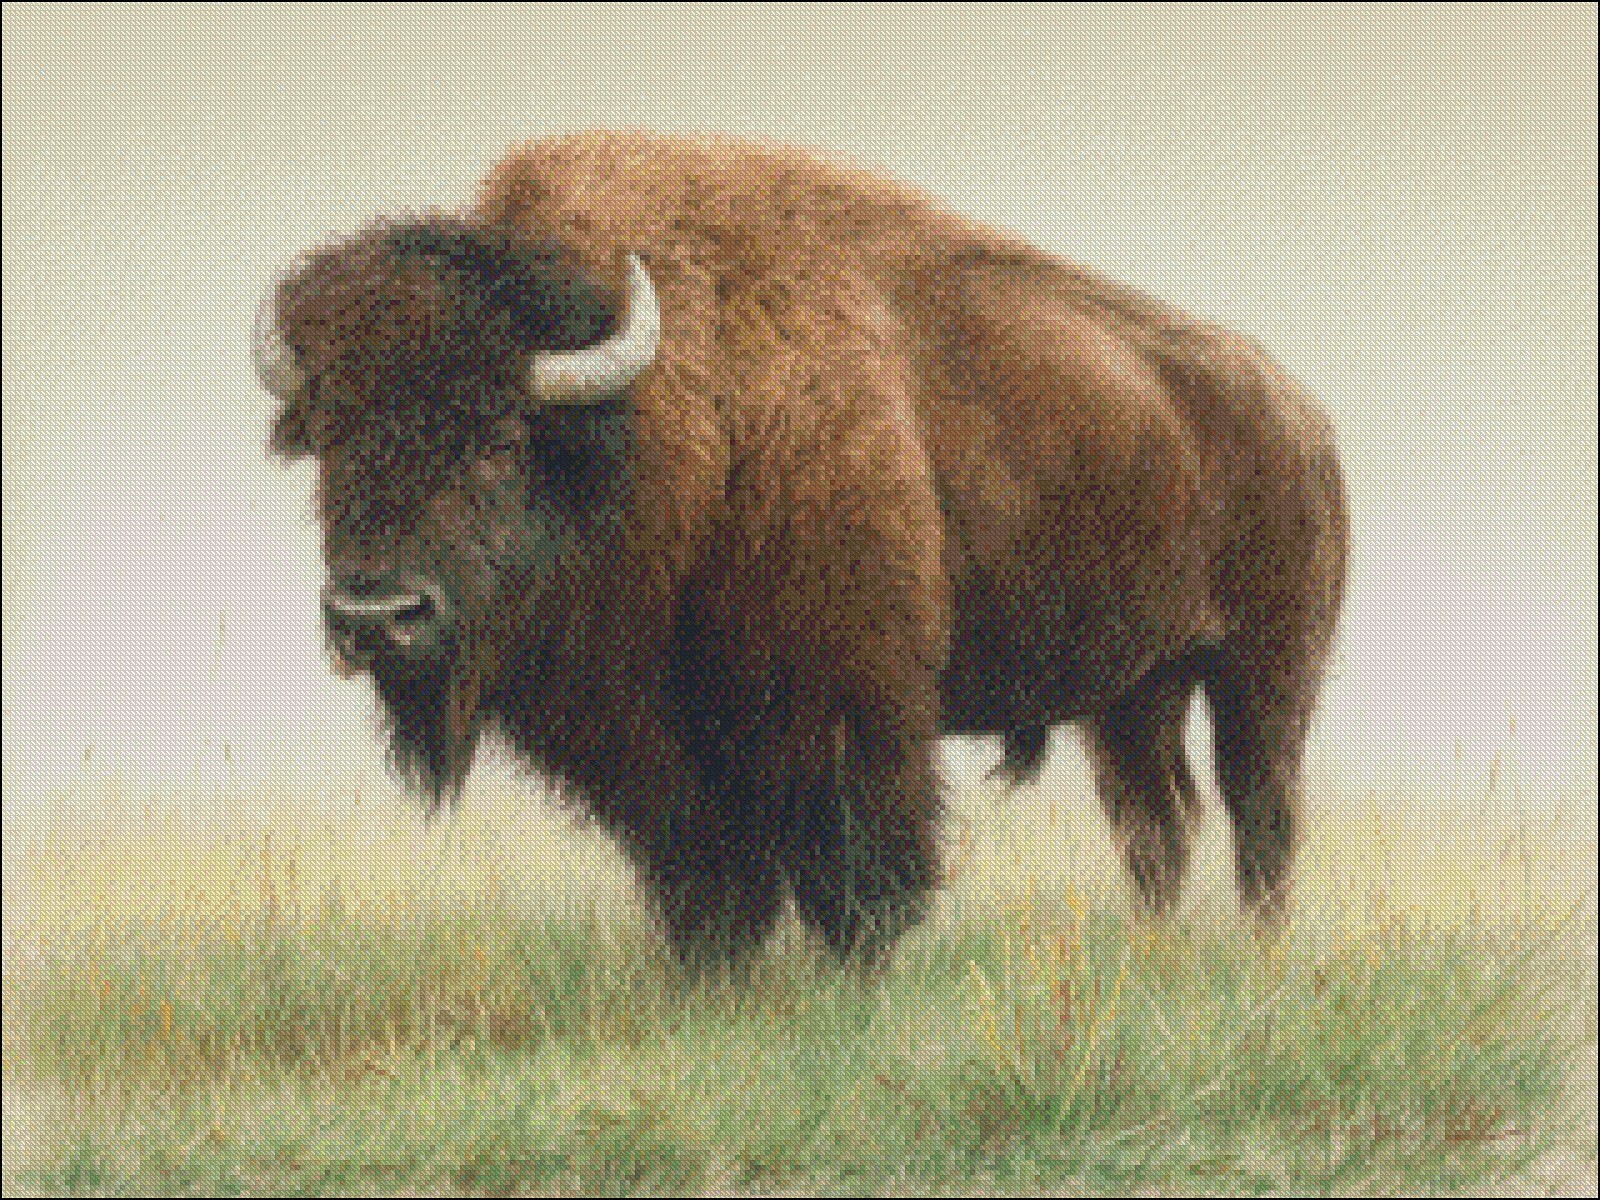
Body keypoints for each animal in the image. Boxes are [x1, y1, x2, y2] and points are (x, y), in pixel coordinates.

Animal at [256, 132, 1347, 961]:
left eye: (500, 440)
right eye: (328, 440)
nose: (374, 616)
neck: (670, 414)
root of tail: (1298, 411)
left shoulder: (841, 708)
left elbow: (854, 862)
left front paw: (859, 973)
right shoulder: (650, 745)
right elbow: (705, 873)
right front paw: (715, 976)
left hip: (1262, 669)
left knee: (1260, 812)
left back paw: (1260, 954)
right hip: (1131, 692)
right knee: (1155, 823)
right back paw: (1155, 952)